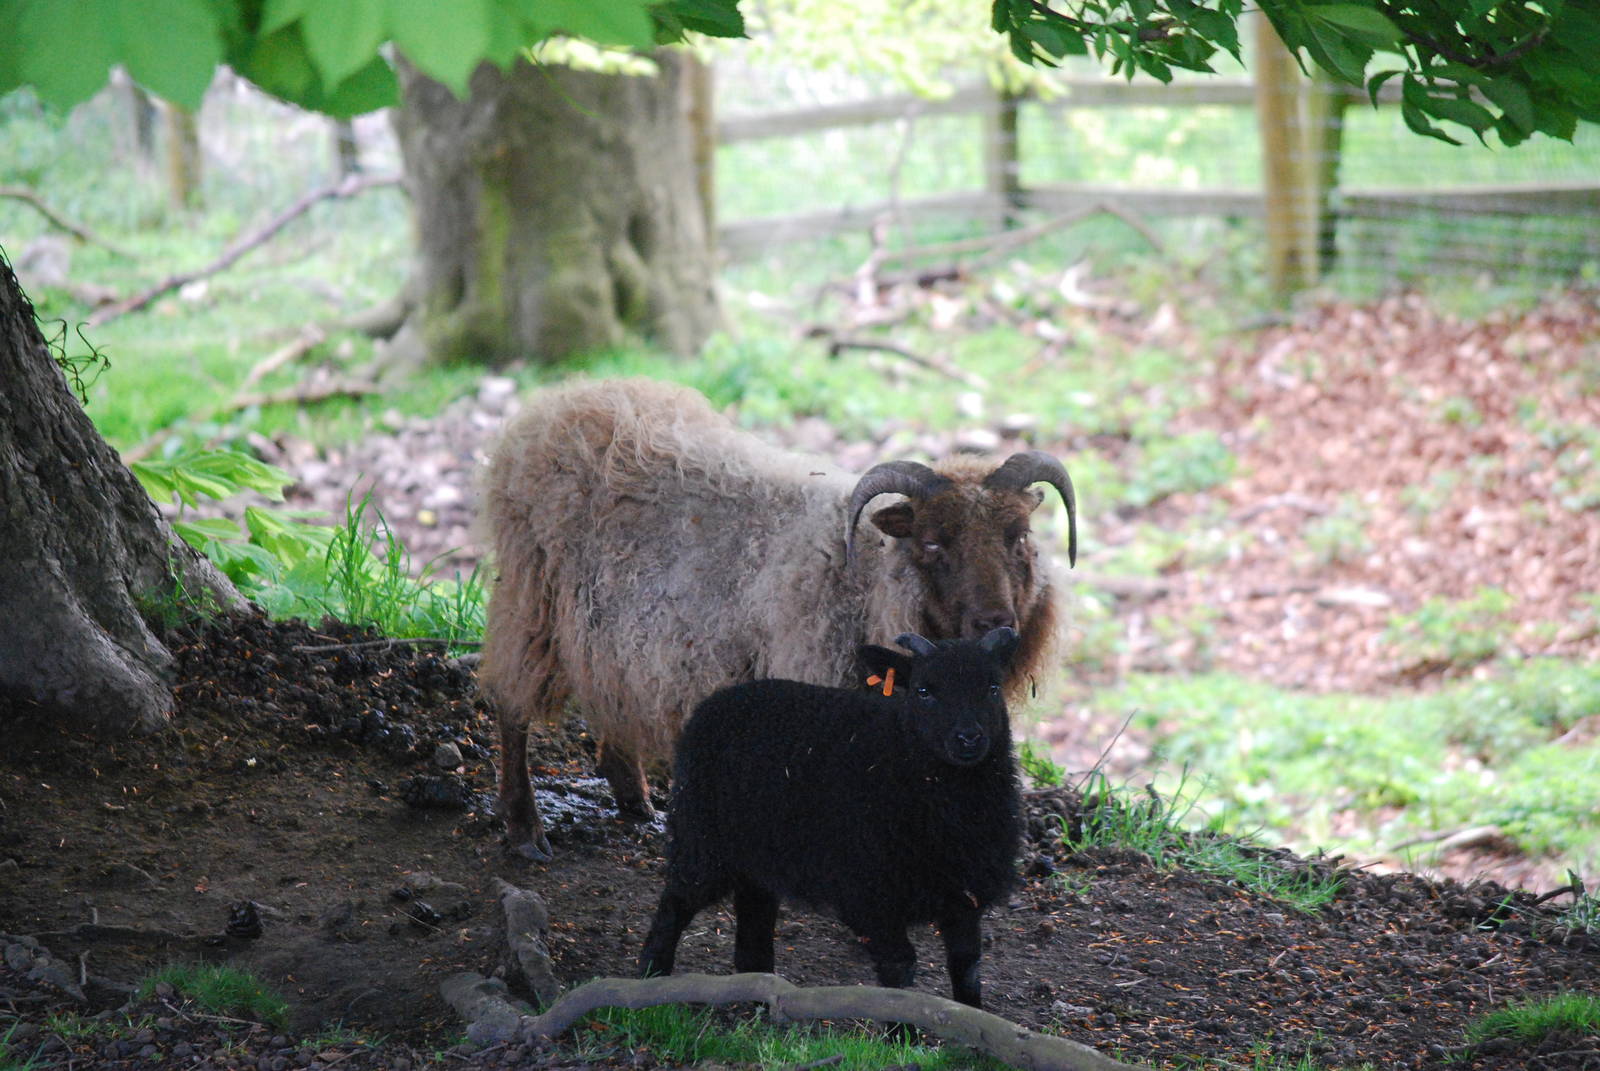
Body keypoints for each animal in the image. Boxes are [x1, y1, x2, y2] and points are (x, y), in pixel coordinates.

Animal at [478, 377, 1075, 860]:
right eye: (931, 543)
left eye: (1018, 536)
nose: (997, 623)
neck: (866, 581)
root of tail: (557, 400)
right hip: (532, 595)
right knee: (511, 700)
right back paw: (524, 826)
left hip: (608, 627)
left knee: (612, 688)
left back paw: (633, 797)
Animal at [638, 628, 1023, 1008]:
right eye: (924, 691)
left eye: (993, 688)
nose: (968, 738)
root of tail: (717, 699)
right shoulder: (870, 895)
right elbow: (899, 968)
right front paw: (902, 1023)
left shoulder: (964, 895)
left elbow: (967, 968)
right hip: (702, 840)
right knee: (675, 904)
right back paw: (650, 983)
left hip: (758, 857)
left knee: (753, 923)